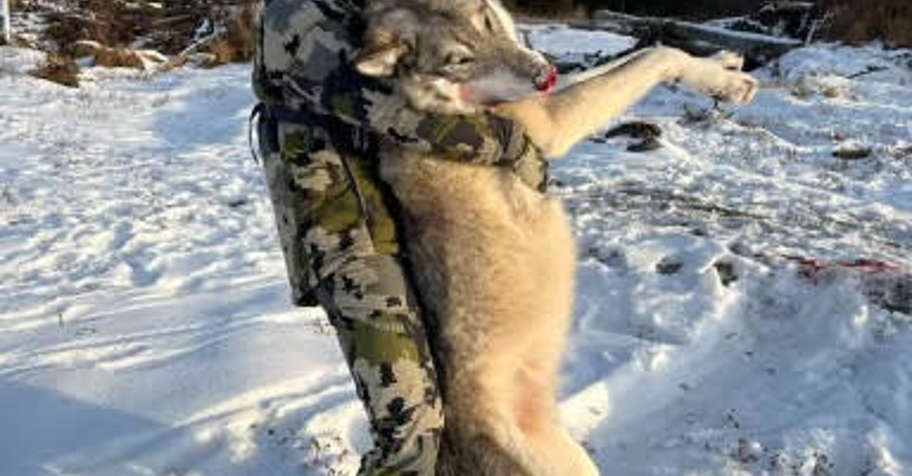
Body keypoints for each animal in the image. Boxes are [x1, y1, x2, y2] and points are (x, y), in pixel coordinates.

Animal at [353, 1, 758, 475]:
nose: (540, 74)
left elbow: (639, 53)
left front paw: (722, 63)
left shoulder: (551, 96)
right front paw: (730, 83)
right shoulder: (551, 121)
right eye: (460, 60)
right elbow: (656, 55)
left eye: (485, 21)